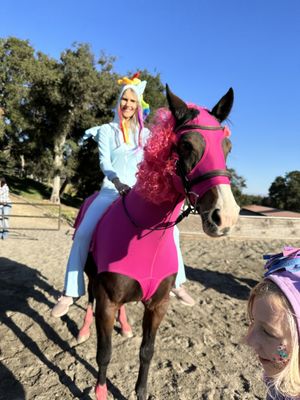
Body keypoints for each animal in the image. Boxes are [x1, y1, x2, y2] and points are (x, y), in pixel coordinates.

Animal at [77, 85, 239, 400]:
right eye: (186, 145)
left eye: (227, 147)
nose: (225, 216)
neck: (142, 233)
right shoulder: (106, 301)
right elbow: (104, 353)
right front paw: (100, 391)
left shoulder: (158, 305)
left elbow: (147, 351)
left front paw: (140, 391)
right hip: (92, 279)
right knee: (88, 301)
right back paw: (83, 331)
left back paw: (126, 326)